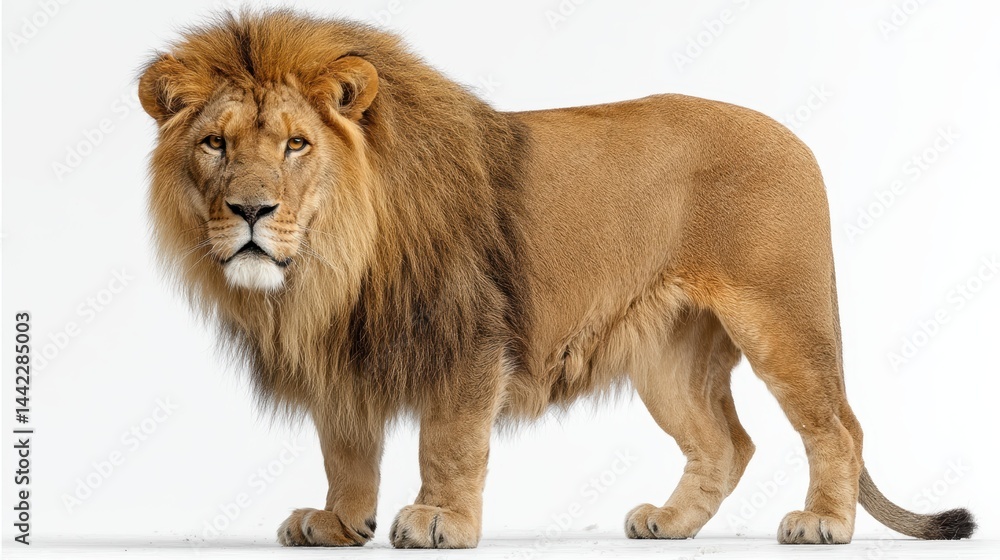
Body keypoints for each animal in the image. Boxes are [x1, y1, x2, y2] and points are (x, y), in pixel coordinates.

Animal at [138, 10, 975, 549]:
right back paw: (670, 524)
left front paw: (440, 521)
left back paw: (825, 522)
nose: (250, 210)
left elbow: (448, 441)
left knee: (838, 427)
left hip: (782, 319)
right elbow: (343, 448)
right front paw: (340, 524)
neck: (330, 269)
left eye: (296, 144)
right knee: (727, 444)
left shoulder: (469, 336)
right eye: (215, 144)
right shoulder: (342, 355)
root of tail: (797, 138)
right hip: (669, 354)